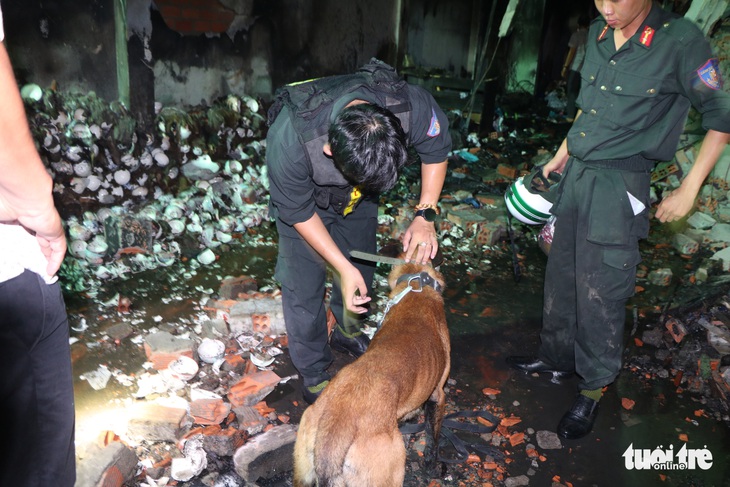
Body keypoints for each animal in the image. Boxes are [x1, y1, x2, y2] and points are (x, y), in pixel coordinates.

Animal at [292, 264, 450, 487]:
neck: (417, 285)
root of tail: (335, 428)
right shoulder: (438, 395)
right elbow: (432, 440)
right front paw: (433, 466)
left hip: (303, 470)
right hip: (389, 472)